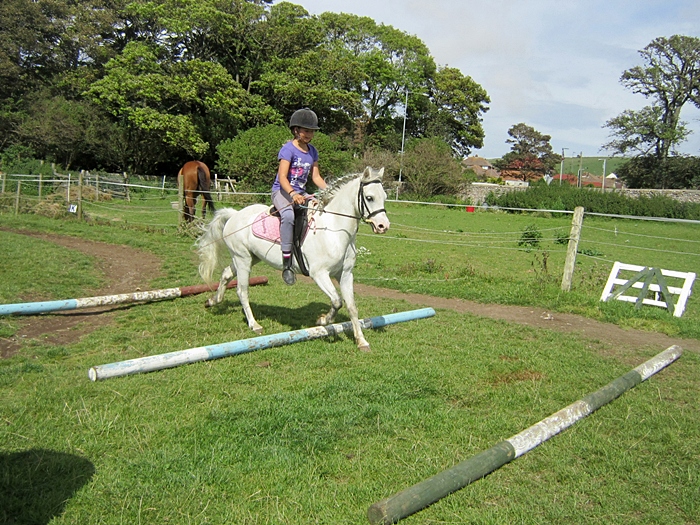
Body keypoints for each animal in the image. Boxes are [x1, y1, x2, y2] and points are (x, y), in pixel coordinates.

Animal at [197, 166, 390, 351]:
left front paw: (361, 342)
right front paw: (322, 321)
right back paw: (254, 325)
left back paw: (212, 301)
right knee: (242, 291)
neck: (334, 229)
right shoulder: (319, 274)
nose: (383, 226)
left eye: (385, 197)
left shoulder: (345, 274)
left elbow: (351, 307)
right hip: (242, 259)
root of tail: (234, 214)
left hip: (250, 258)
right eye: (370, 198)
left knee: (226, 274)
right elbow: (337, 300)